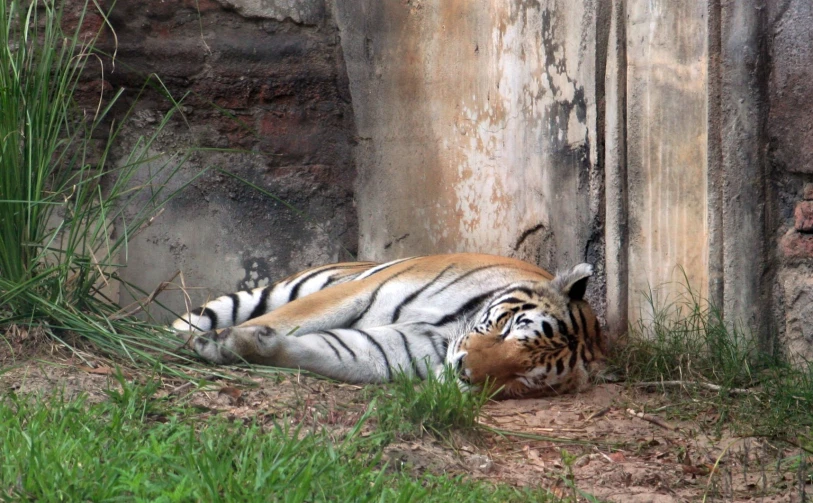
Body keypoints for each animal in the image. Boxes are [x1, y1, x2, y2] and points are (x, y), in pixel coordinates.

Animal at [171, 254, 604, 400]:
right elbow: (287, 320)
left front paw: (244, 345)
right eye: (509, 326)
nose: (464, 370)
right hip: (280, 290)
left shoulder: (394, 348)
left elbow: (330, 349)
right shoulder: (357, 292)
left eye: (521, 378)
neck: (449, 331)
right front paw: (214, 342)